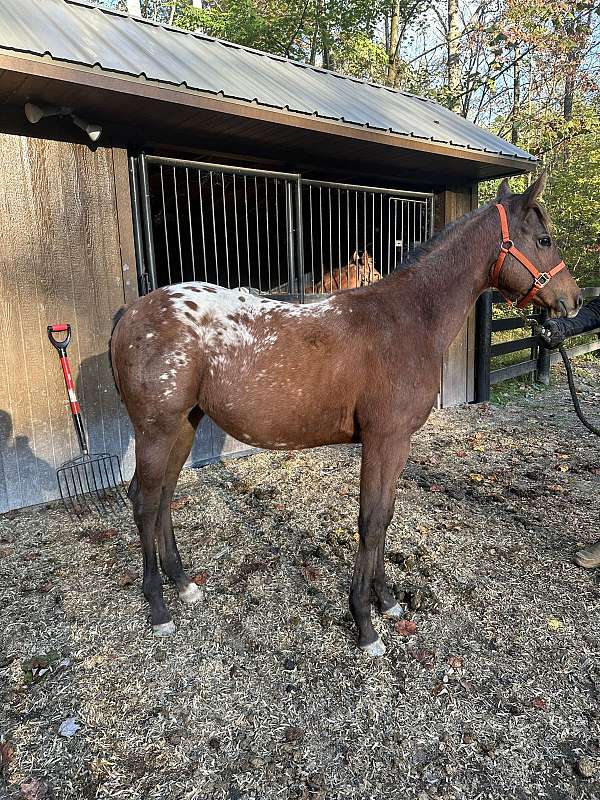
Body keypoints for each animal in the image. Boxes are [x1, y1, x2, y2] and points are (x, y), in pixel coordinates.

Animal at [112, 177, 580, 656]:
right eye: (544, 239)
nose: (573, 299)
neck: (408, 319)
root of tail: (131, 312)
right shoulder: (383, 439)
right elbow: (370, 522)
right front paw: (364, 623)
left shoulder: (397, 444)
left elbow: (385, 515)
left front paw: (387, 601)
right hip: (156, 430)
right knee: (145, 502)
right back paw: (159, 608)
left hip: (185, 425)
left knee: (164, 497)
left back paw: (184, 584)